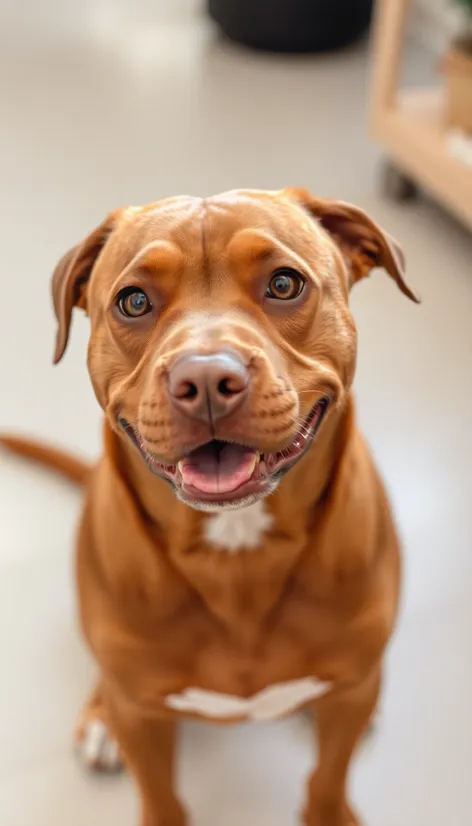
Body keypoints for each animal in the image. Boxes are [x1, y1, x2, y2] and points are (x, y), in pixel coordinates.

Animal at [2, 188, 416, 824]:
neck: (237, 548)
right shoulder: (141, 716)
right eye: (133, 301)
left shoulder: (352, 694)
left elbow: (328, 775)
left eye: (284, 284)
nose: (204, 378)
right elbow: (160, 793)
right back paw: (99, 719)